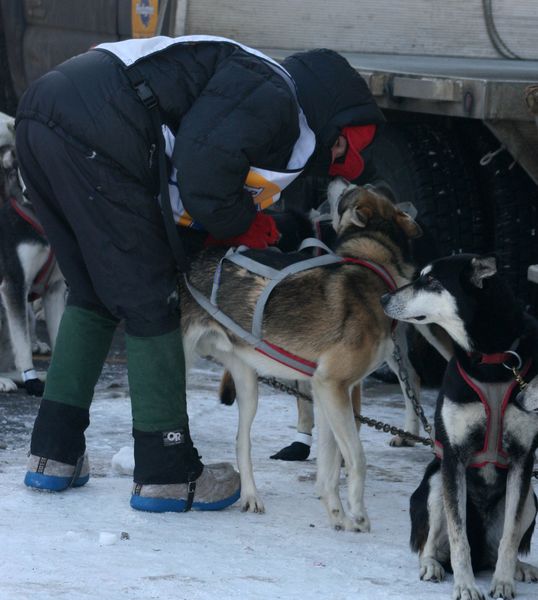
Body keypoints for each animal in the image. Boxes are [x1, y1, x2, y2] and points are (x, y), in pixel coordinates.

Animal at [378, 253, 536, 600]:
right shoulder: (453, 457)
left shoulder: (523, 460)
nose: (382, 298)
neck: (491, 362)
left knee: (500, 545)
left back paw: (518, 568)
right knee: (432, 546)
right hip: (436, 483)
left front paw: (503, 582)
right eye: (419, 275)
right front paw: (465, 586)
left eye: (431, 280)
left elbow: (509, 537)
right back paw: (432, 566)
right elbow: (457, 538)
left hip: (531, 497)